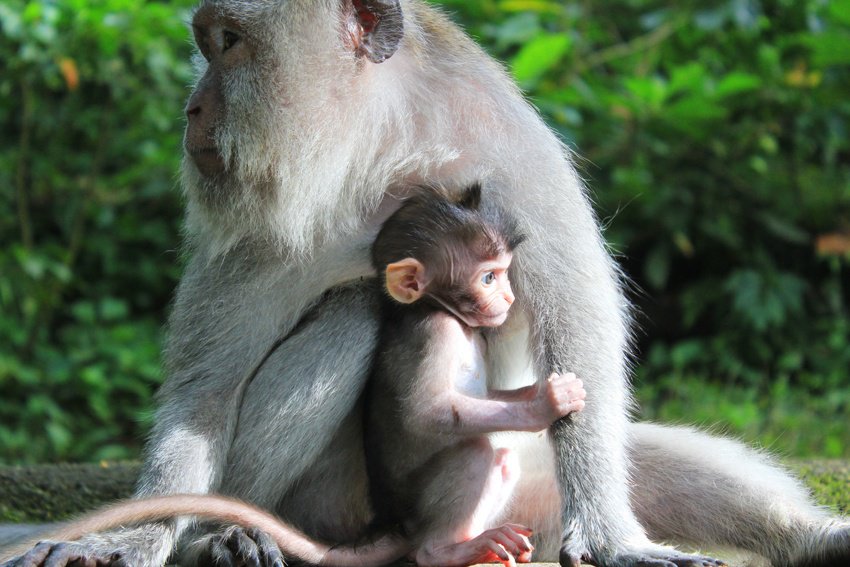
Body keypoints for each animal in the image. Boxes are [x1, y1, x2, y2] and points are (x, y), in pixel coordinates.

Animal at [364, 184, 584, 564]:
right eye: (488, 278)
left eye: (504, 272)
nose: (509, 297)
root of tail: (398, 526)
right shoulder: (437, 333)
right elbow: (424, 413)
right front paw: (547, 405)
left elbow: (486, 398)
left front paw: (539, 391)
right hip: (417, 511)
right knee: (474, 452)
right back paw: (443, 551)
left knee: (504, 460)